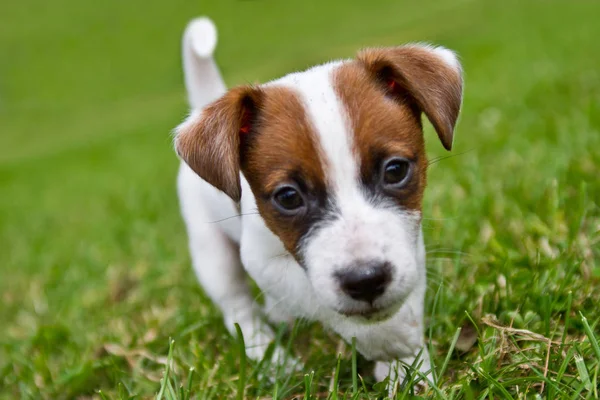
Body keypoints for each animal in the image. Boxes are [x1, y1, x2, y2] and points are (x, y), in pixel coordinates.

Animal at [173, 17, 464, 386]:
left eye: (395, 170)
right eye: (288, 197)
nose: (366, 280)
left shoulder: (408, 241)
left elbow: (408, 295)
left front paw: (409, 365)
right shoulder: (263, 259)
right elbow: (313, 295)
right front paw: (385, 341)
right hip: (212, 256)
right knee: (238, 310)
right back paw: (271, 359)